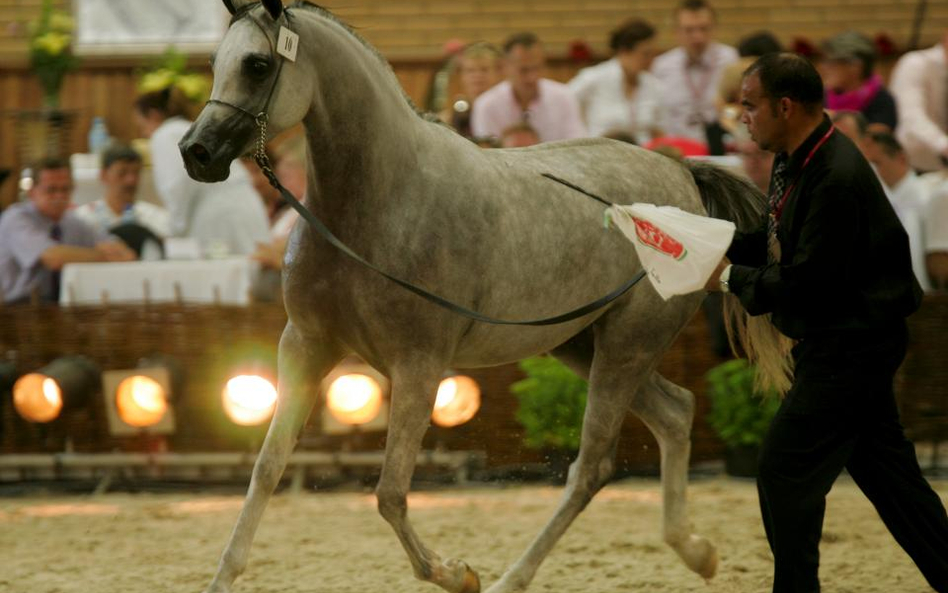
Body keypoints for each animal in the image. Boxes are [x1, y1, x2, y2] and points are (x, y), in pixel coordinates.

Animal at [180, 2, 772, 588]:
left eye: (258, 65)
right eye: (214, 61)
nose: (196, 152)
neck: (379, 202)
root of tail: (681, 174)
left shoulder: (419, 365)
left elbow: (390, 492)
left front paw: (458, 573)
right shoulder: (305, 345)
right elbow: (266, 469)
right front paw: (222, 578)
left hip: (627, 345)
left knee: (591, 467)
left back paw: (514, 577)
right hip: (583, 343)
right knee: (674, 412)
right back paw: (696, 551)